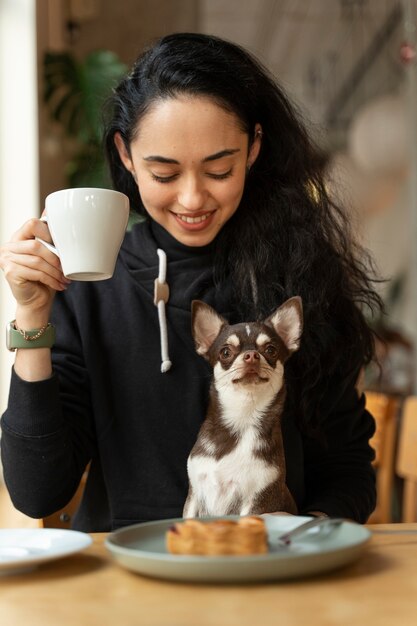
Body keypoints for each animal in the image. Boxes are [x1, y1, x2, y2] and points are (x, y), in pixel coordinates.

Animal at [183, 298, 302, 516]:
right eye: (226, 352)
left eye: (270, 350)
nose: (251, 355)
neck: (243, 415)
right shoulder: (194, 496)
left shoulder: (258, 502)